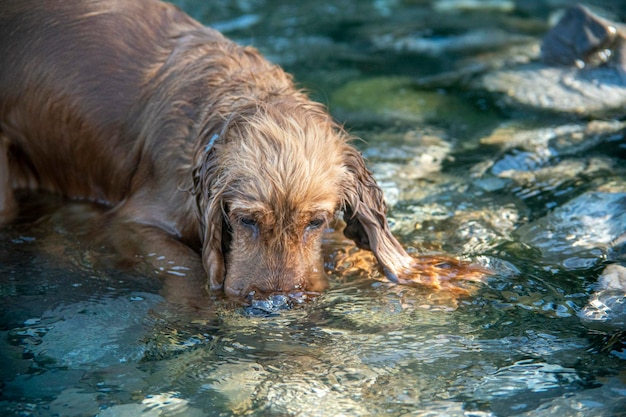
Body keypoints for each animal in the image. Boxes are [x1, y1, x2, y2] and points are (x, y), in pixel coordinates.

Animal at [0, 0, 480, 300]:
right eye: (245, 220)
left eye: (316, 221)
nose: (276, 300)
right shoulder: (136, 222)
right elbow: (188, 266)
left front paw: (429, 274)